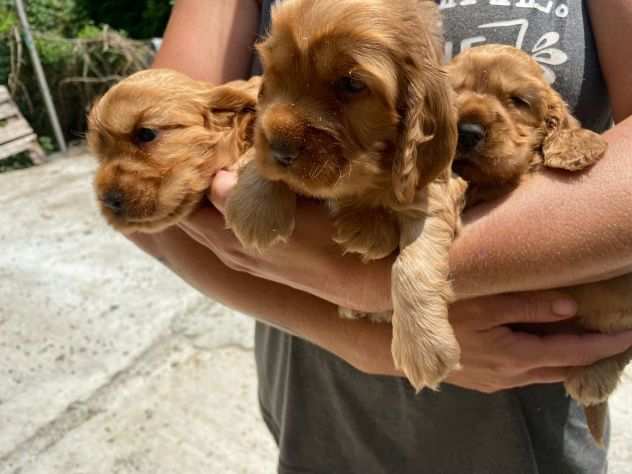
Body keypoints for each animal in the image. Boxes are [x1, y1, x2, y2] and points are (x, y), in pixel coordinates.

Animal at [225, 0, 466, 390]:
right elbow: (257, 149)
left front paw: (424, 345)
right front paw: (255, 208)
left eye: (351, 84)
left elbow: (412, 265)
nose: (279, 148)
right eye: (273, 73)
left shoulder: (434, 194)